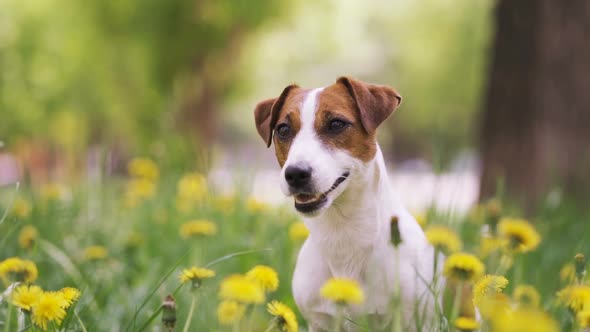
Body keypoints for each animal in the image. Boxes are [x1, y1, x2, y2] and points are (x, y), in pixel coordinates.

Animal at [252, 76, 442, 330]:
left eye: (336, 124)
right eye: (283, 129)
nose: (295, 173)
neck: (343, 232)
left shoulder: (417, 320)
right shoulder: (319, 321)